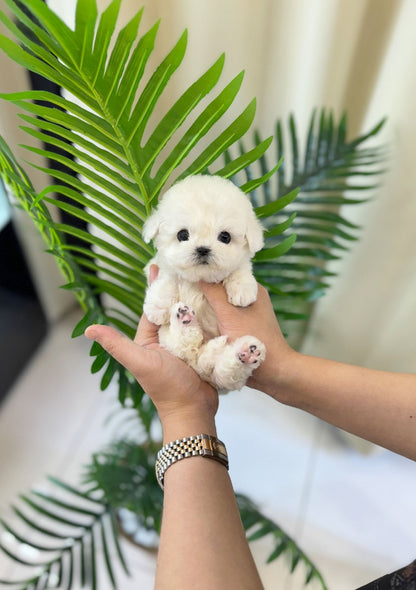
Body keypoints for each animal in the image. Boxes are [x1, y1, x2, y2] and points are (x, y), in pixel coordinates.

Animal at [143, 176, 266, 394]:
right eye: (182, 235)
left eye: (225, 237)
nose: (202, 249)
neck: (199, 281)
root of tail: (199, 365)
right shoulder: (161, 266)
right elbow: (168, 277)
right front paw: (157, 307)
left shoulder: (239, 264)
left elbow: (240, 269)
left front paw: (242, 289)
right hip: (169, 341)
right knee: (183, 345)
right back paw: (184, 319)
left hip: (220, 371)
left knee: (227, 372)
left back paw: (246, 353)